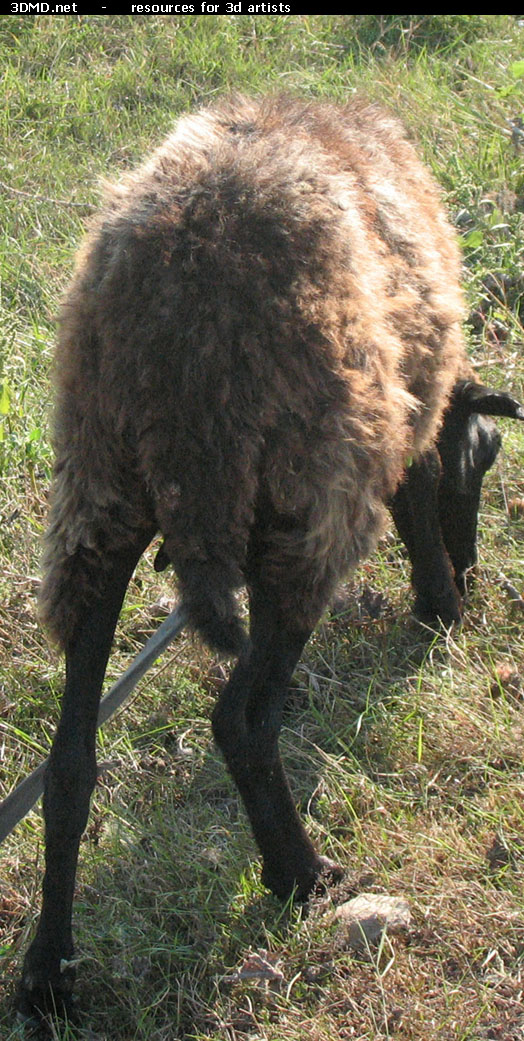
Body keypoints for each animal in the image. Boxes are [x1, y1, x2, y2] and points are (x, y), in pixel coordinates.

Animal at [17, 93, 524, 1020]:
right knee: (240, 717)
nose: (472, 580)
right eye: (489, 453)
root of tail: (184, 320)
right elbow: (417, 490)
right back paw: (301, 873)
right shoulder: (401, 409)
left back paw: (48, 974)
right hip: (310, 506)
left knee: (70, 764)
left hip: (97, 499)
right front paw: (441, 604)